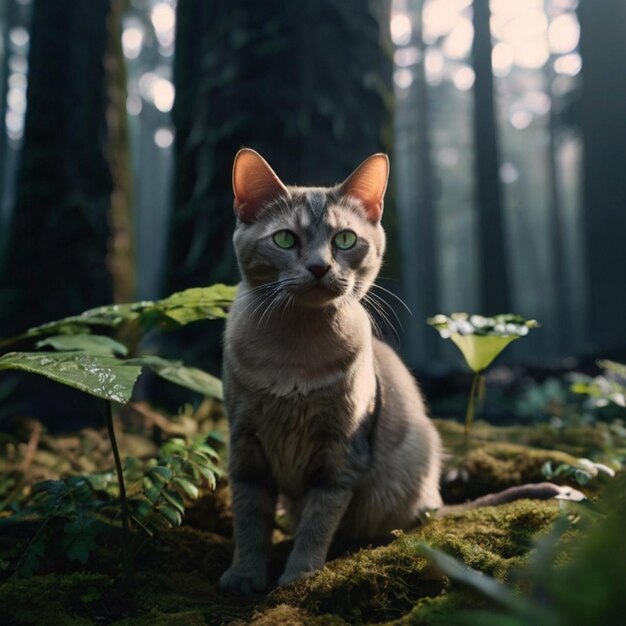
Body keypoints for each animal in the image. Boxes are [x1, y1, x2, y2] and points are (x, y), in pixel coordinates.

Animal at [218, 149, 564, 592]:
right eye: (285, 239)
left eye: (344, 239)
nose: (319, 267)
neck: (294, 354)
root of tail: (436, 500)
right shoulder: (245, 443)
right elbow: (249, 518)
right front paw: (244, 576)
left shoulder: (341, 451)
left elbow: (317, 522)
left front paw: (298, 578)